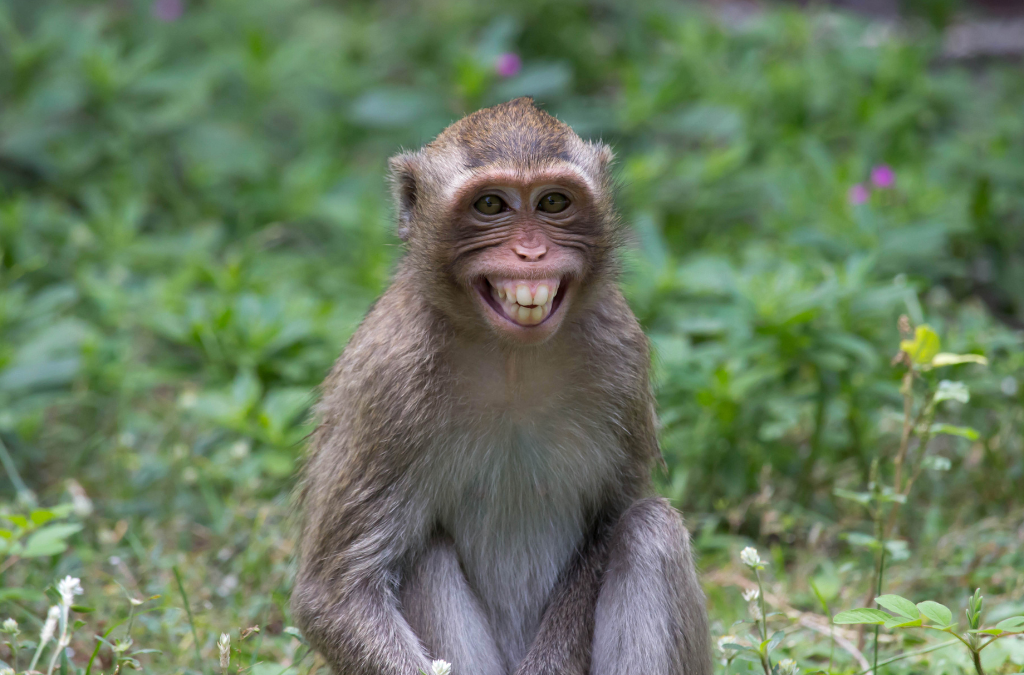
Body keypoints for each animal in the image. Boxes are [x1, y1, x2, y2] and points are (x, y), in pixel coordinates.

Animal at [291, 97, 712, 675]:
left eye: (553, 201)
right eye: (491, 204)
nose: (531, 254)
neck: (511, 360)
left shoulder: (620, 353)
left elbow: (612, 520)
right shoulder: (386, 380)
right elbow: (335, 594)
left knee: (651, 529)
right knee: (423, 555)